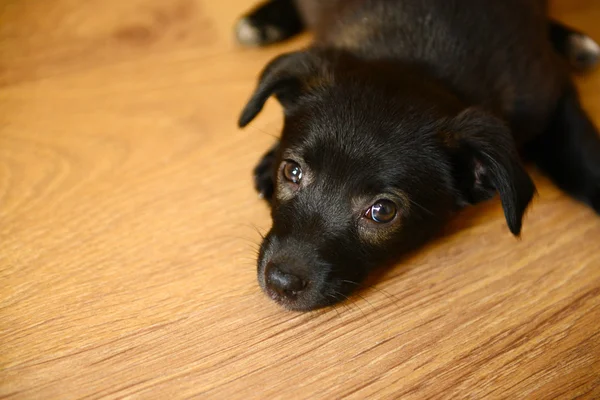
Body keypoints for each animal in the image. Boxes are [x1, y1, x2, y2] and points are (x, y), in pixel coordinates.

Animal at [234, 0, 600, 310]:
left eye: (382, 211)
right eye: (292, 172)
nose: (280, 282)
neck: (417, 59)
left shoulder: (548, 90)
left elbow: (582, 156)